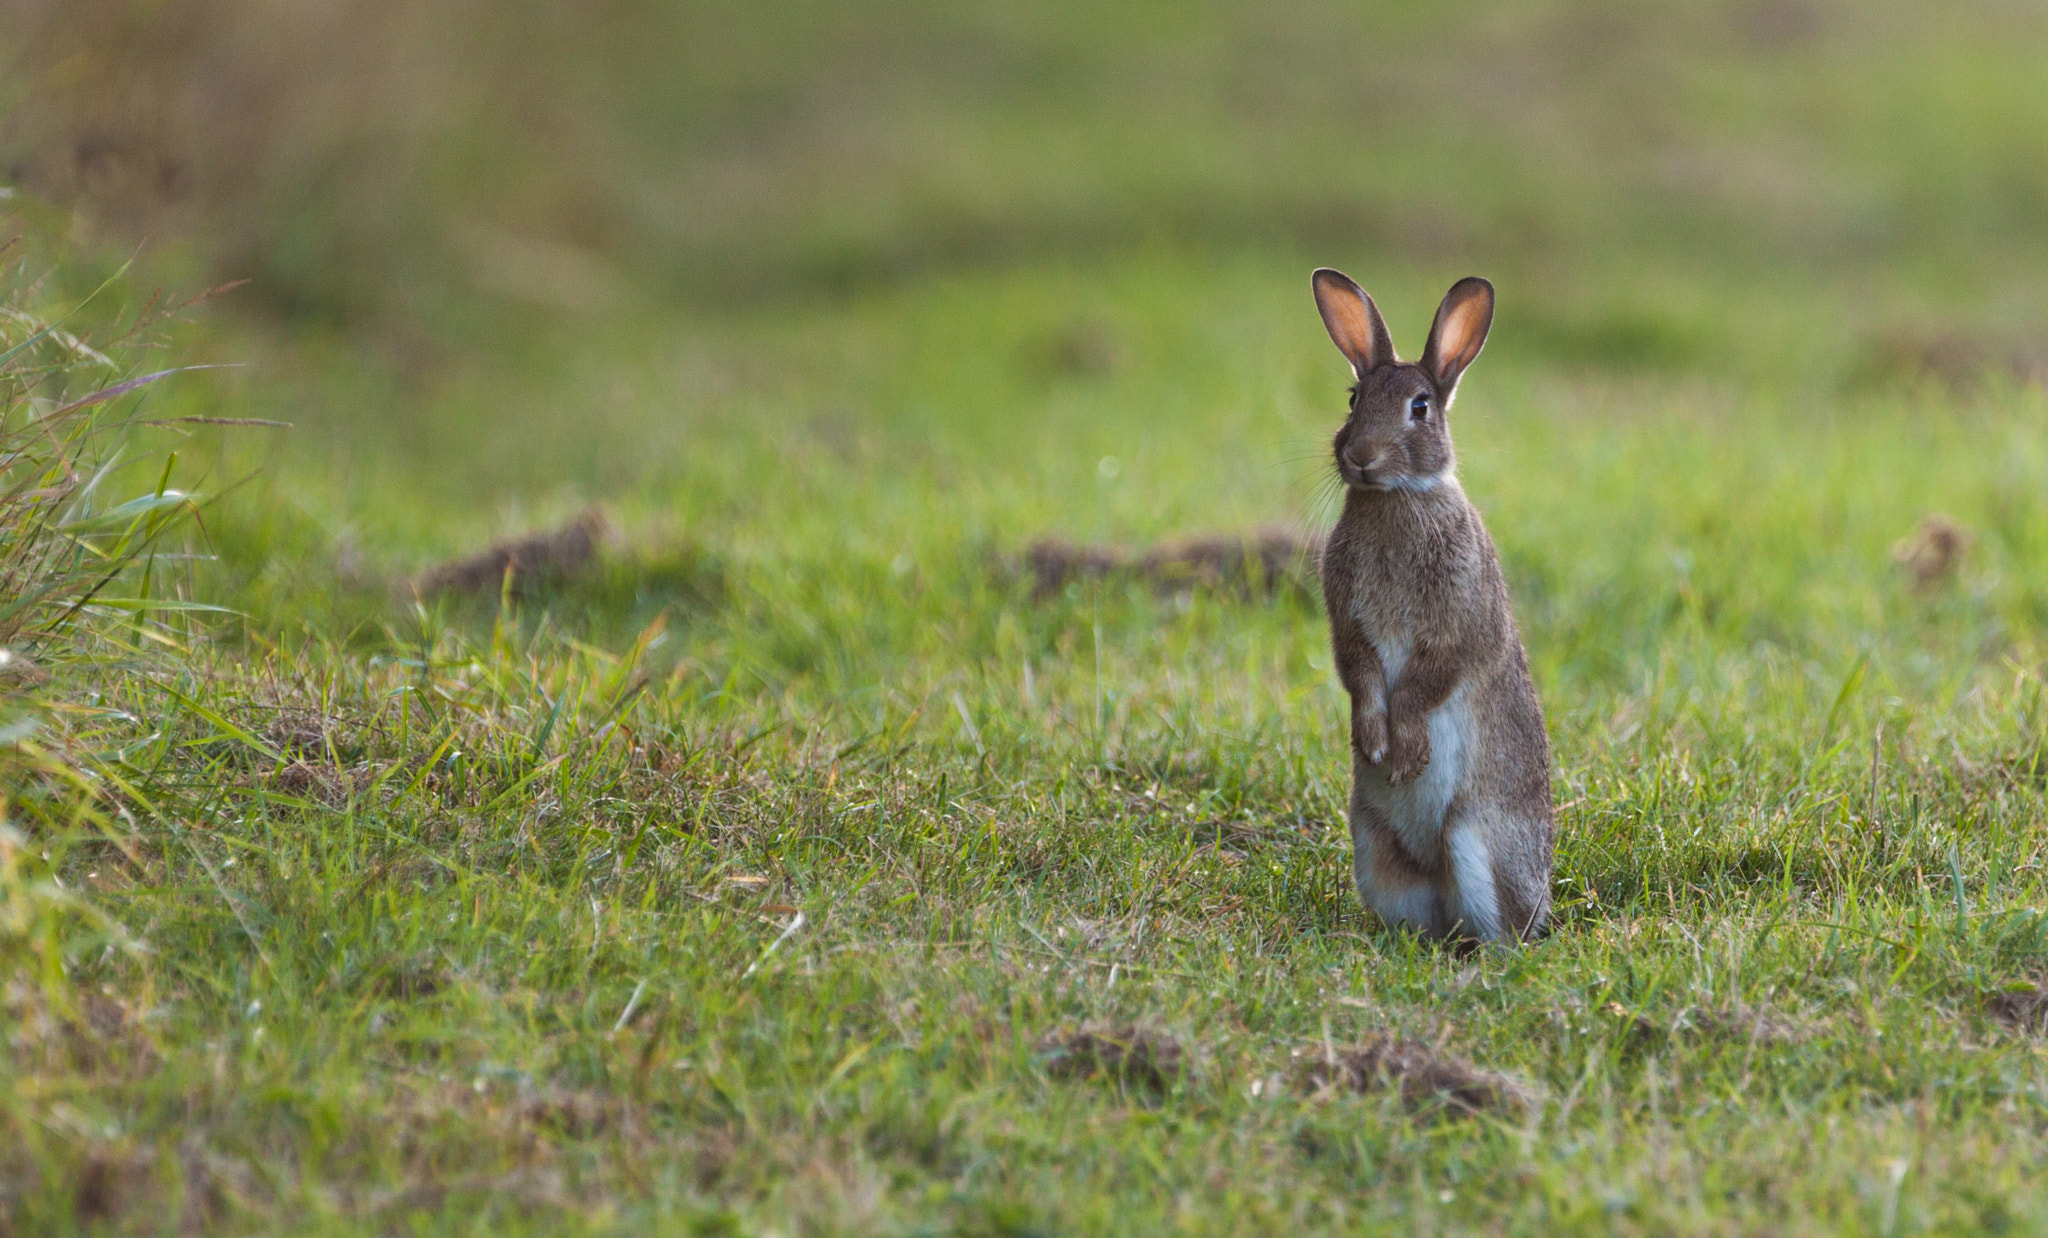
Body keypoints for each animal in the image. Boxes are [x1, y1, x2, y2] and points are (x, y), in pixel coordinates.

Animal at [1310, 269, 1555, 943]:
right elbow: (1362, 674)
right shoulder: (1349, 627)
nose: (1360, 456)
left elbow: (1427, 681)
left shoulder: (1457, 626)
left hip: (1474, 840)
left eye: (1420, 408)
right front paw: (1373, 741)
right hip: (1373, 848)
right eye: (1352, 399)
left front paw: (1405, 751)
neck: (1396, 498)